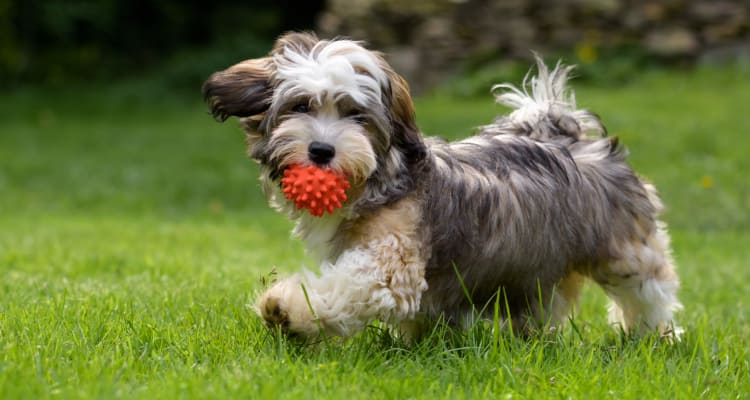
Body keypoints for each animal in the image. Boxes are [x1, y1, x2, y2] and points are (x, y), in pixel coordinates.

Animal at [203, 31, 684, 340]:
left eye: (356, 115)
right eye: (301, 106)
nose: (321, 151)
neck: (377, 183)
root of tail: (570, 137)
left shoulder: (389, 264)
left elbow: (346, 287)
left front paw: (286, 308)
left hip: (623, 248)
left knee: (648, 289)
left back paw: (654, 336)